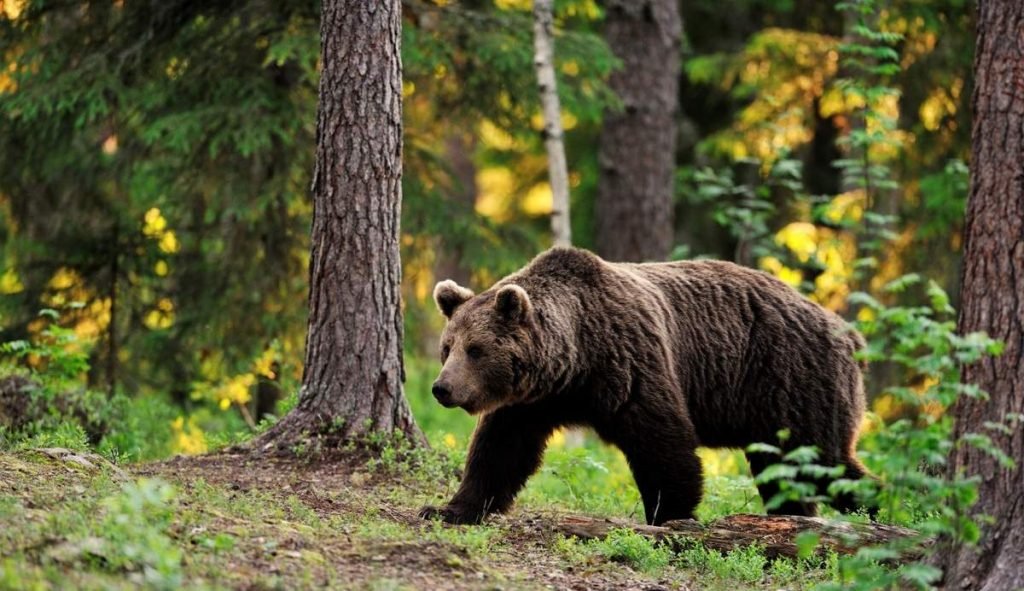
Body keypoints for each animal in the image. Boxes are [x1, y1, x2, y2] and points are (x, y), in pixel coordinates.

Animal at [419, 246, 868, 522]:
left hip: (790, 379)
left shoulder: (629, 364)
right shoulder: (531, 402)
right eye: (447, 347)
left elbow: (663, 443)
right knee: (788, 471)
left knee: (820, 461)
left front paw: (671, 514)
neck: (575, 360)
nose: (442, 388)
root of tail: (846, 332)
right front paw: (449, 509)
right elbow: (500, 452)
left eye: (476, 350)